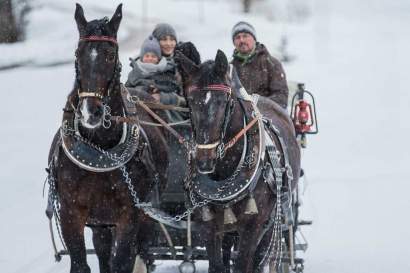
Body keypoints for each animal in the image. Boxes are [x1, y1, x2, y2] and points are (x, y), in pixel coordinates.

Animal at [47, 3, 169, 270]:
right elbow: (80, 264)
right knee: (103, 250)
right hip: (100, 222)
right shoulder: (71, 215)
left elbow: (122, 262)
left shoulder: (129, 215)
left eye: (110, 55)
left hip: (145, 216)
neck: (98, 148)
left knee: (141, 250)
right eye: (78, 54)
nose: (90, 112)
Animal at [177, 49, 302, 272]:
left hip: (273, 218)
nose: (204, 161)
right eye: (190, 102)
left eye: (223, 101)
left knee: (260, 257)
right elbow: (217, 265)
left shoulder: (253, 225)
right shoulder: (208, 225)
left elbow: (245, 264)